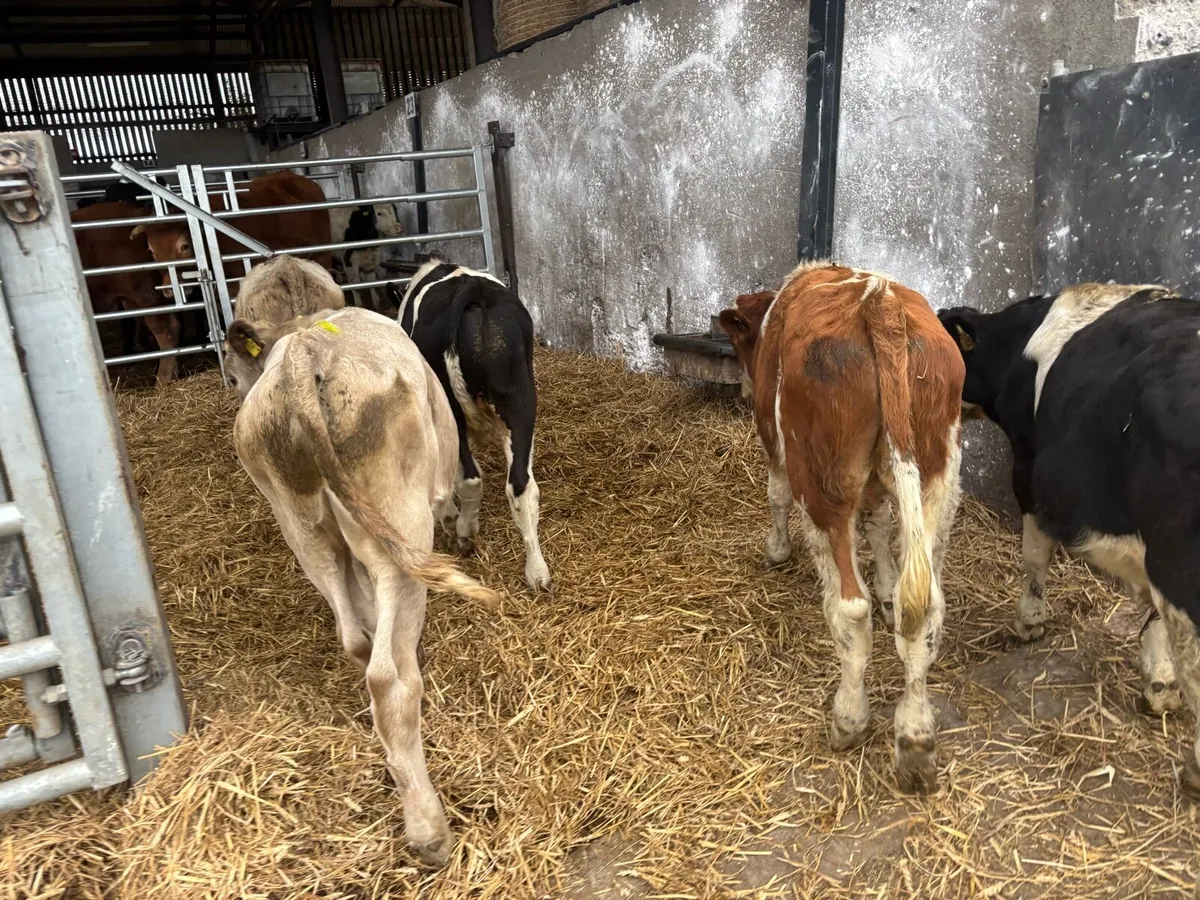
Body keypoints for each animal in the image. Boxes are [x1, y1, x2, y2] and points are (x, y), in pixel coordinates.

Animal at [223, 260, 500, 866]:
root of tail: (305, 353)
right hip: (400, 530)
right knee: (388, 679)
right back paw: (429, 831)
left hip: (307, 534)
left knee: (354, 639)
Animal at [390, 258, 551, 591]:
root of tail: (472, 290)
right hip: (520, 399)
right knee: (521, 486)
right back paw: (537, 571)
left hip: (450, 407)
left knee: (470, 477)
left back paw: (461, 529)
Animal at [719, 262, 965, 794]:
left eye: (739, 344)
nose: (744, 387)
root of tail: (880, 301)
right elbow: (878, 526)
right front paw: (888, 588)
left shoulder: (775, 443)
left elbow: (775, 494)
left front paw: (776, 551)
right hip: (937, 473)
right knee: (925, 606)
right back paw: (915, 736)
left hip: (822, 481)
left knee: (852, 609)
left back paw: (849, 716)